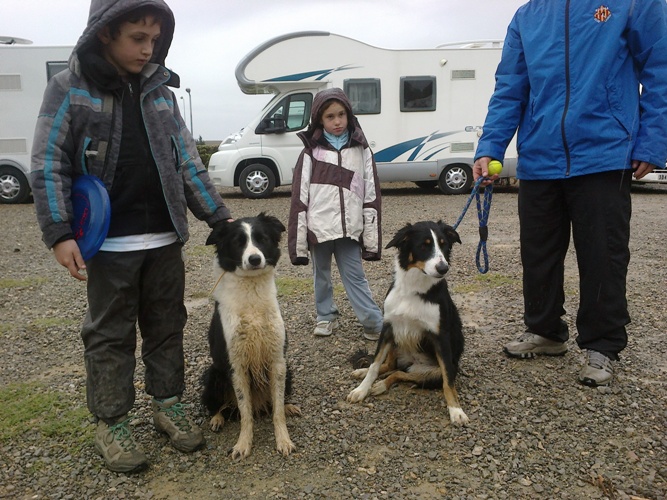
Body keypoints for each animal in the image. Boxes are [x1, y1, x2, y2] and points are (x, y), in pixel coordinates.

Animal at [201, 213, 300, 458]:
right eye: (238, 242)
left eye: (262, 239)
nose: (255, 259)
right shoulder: (236, 364)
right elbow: (245, 412)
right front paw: (243, 444)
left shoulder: (277, 360)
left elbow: (277, 410)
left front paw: (283, 440)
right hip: (212, 374)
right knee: (219, 406)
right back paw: (217, 419)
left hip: (289, 371)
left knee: (274, 403)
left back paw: (289, 406)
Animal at [348, 220, 468, 426]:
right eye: (424, 246)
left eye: (444, 244)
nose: (443, 268)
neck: (414, 289)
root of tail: (412, 362)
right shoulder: (388, 327)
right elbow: (375, 365)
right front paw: (361, 389)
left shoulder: (441, 337)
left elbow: (448, 382)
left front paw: (456, 410)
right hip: (396, 340)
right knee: (390, 366)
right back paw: (363, 373)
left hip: (431, 373)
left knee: (399, 373)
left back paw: (381, 385)